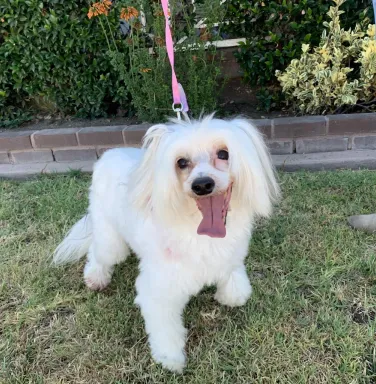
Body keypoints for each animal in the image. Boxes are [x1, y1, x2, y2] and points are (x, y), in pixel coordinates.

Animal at [54, 114, 280, 372]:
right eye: (181, 162)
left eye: (224, 154)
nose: (202, 184)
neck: (197, 229)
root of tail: (109, 154)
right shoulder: (158, 290)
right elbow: (165, 330)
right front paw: (170, 359)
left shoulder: (230, 258)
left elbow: (236, 289)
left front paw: (229, 294)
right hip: (110, 236)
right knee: (98, 250)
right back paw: (95, 277)